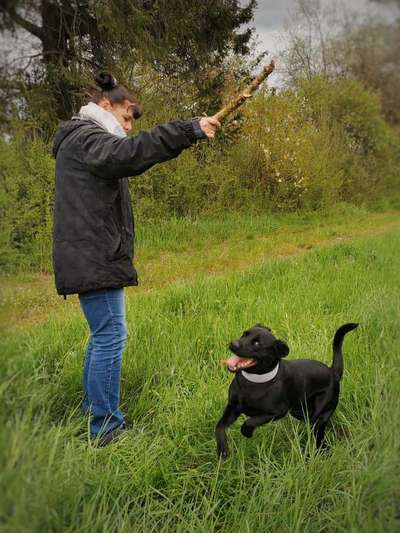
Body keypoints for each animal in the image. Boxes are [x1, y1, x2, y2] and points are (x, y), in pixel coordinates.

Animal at [216, 320, 360, 458]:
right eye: (244, 334)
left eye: (257, 343)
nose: (233, 343)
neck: (253, 381)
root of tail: (333, 372)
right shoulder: (232, 408)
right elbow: (219, 426)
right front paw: (222, 450)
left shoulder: (277, 412)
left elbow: (250, 421)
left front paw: (247, 433)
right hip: (300, 412)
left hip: (317, 417)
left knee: (319, 437)